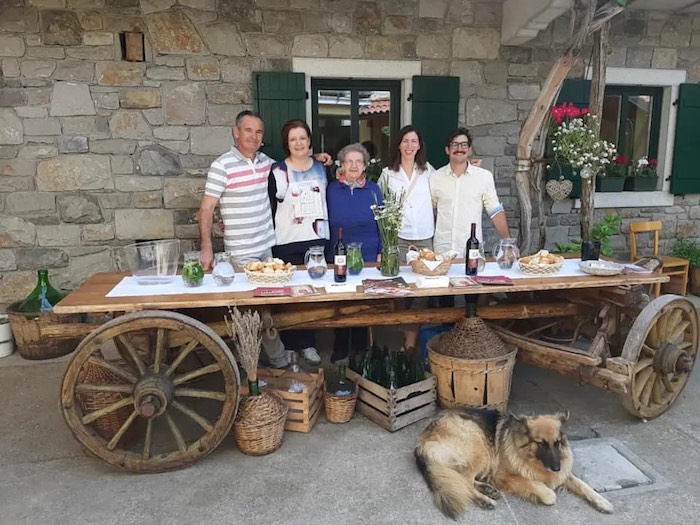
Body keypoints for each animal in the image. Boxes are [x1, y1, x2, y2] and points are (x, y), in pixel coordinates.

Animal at [416, 410, 612, 516]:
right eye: (541, 443)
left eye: (557, 443)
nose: (556, 468)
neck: (531, 457)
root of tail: (422, 440)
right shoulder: (505, 476)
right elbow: (546, 491)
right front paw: (545, 493)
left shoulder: (564, 474)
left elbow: (584, 485)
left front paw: (602, 502)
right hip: (481, 447)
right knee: (463, 480)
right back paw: (484, 499)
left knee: (462, 479)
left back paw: (487, 490)